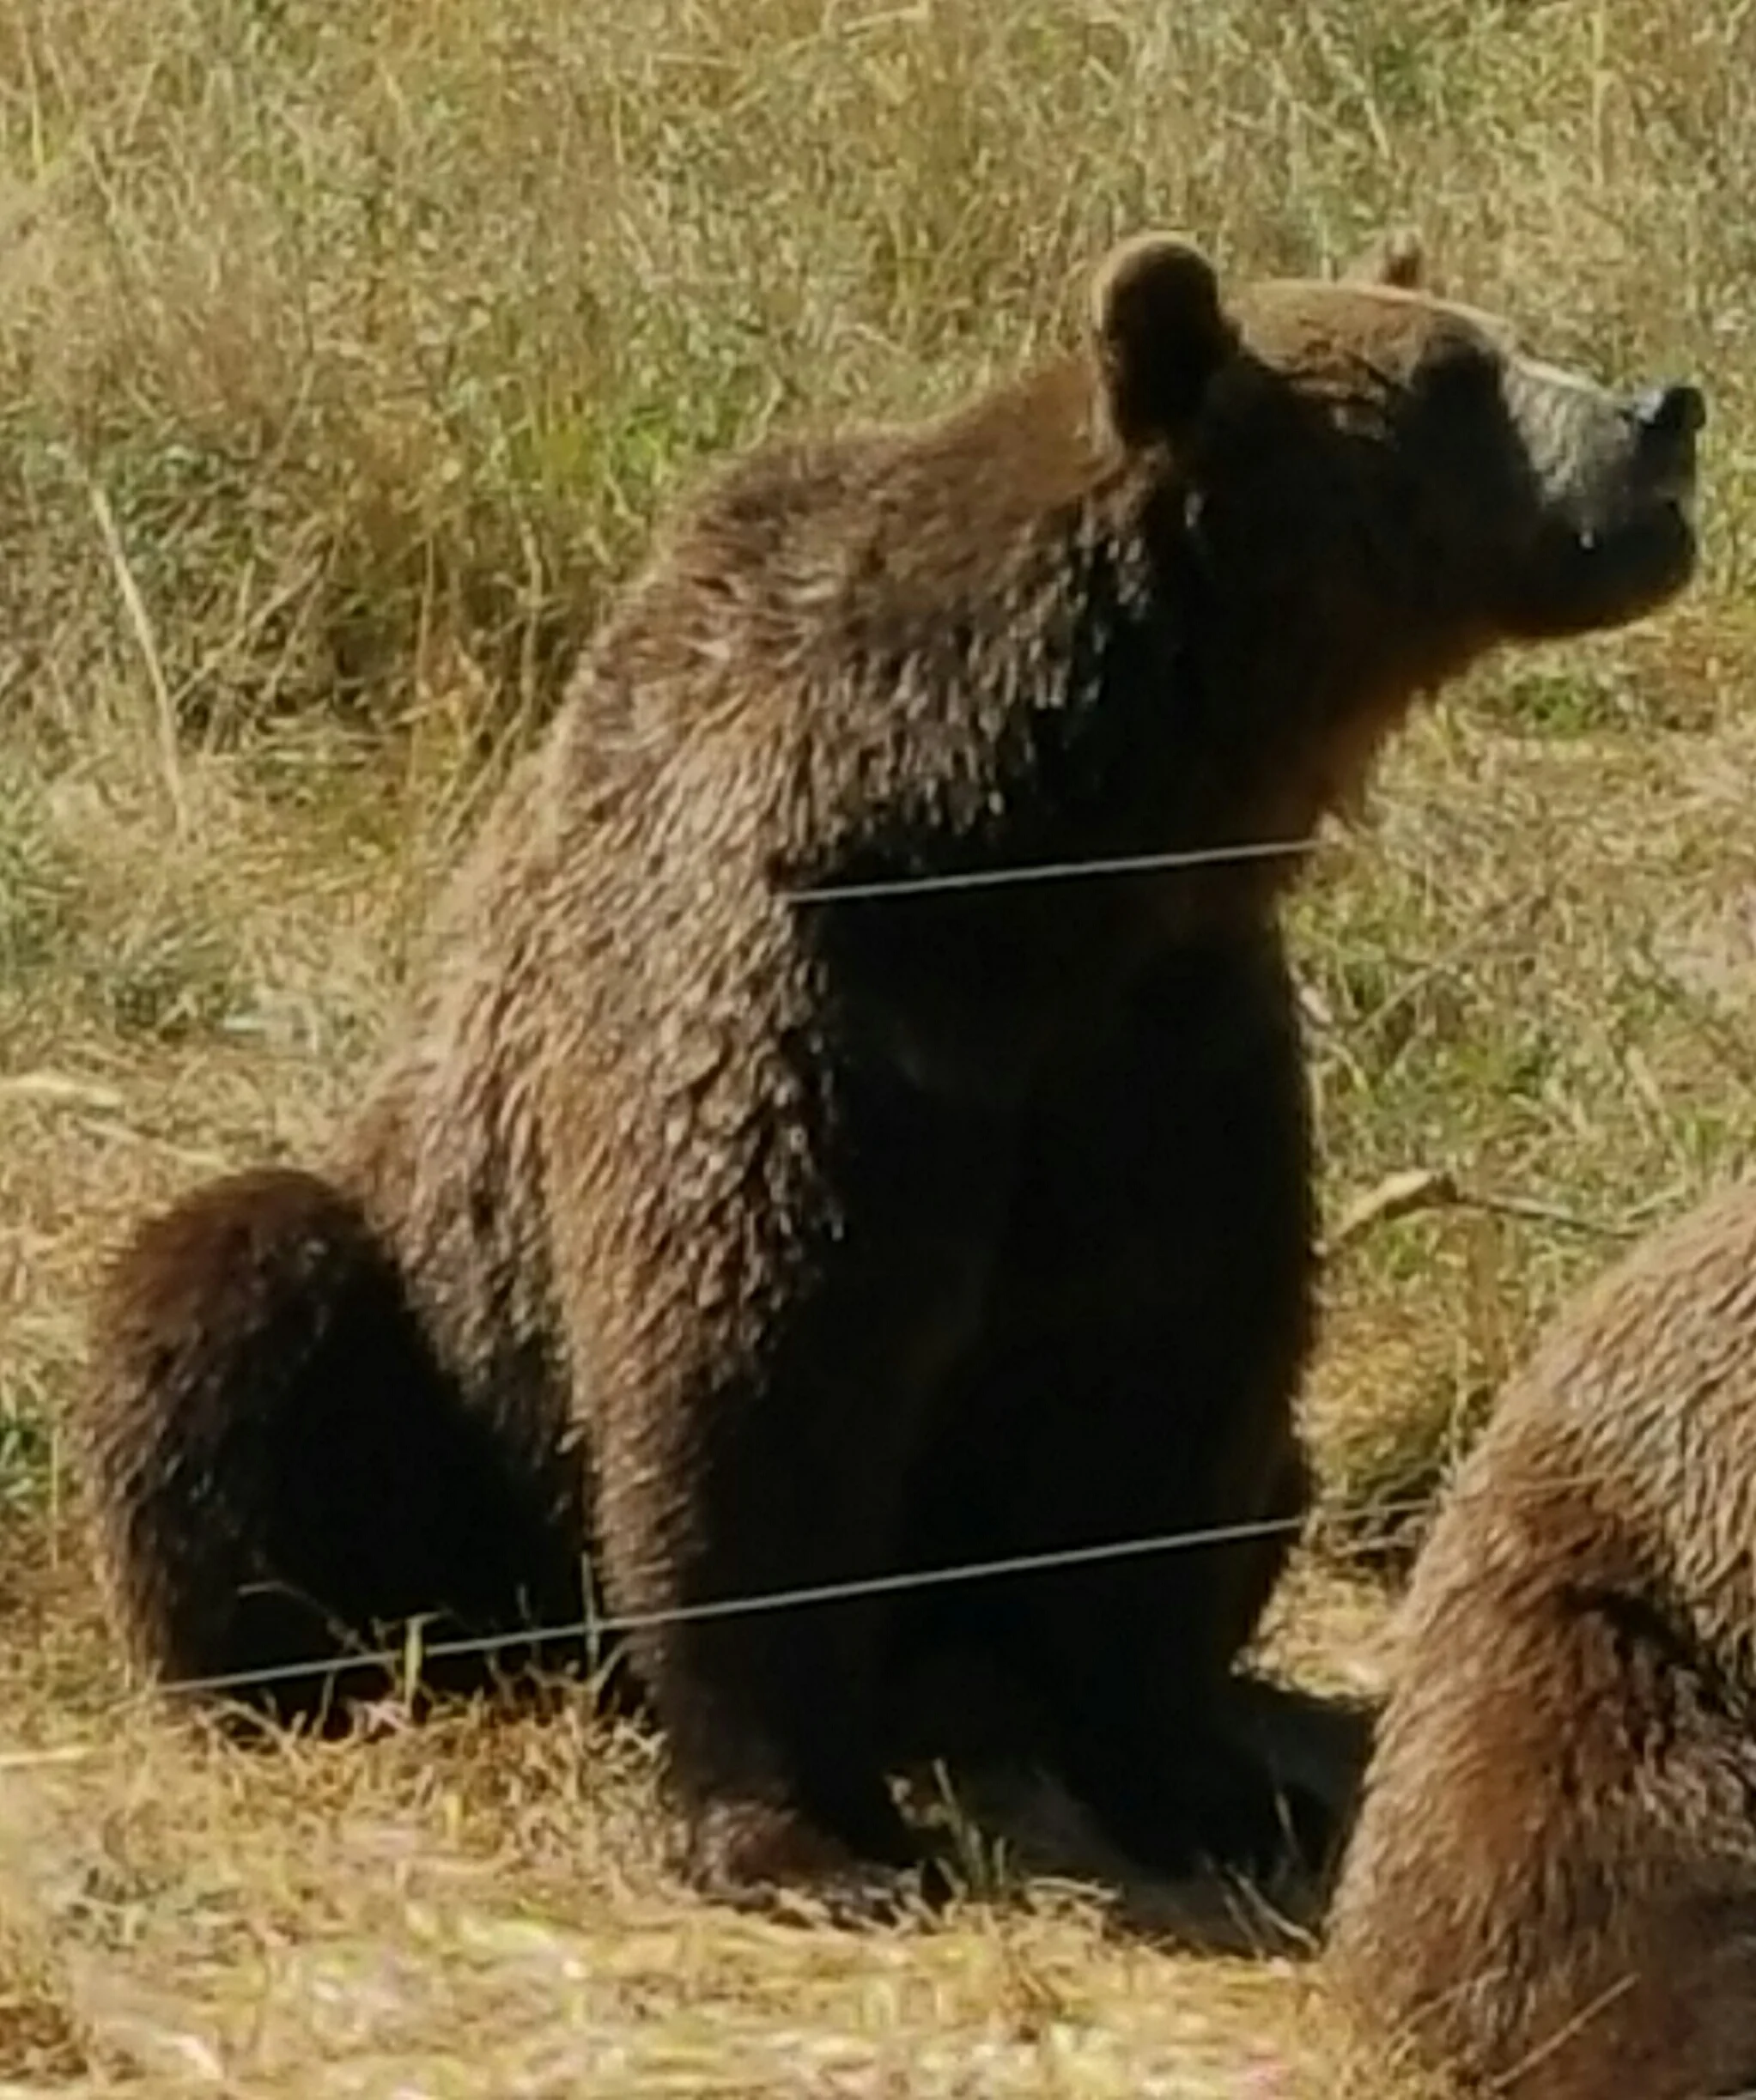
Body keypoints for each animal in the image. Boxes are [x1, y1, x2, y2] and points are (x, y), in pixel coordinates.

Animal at [74, 224, 1704, 1913]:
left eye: (1484, 339)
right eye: (1456, 374)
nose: (1663, 413)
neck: (1043, 849)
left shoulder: (1166, 1036)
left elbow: (1167, 1388)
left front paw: (1211, 1784)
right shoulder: (809, 995)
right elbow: (753, 1384)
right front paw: (811, 1833)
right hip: (438, 1338)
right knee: (237, 1295)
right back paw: (303, 1655)